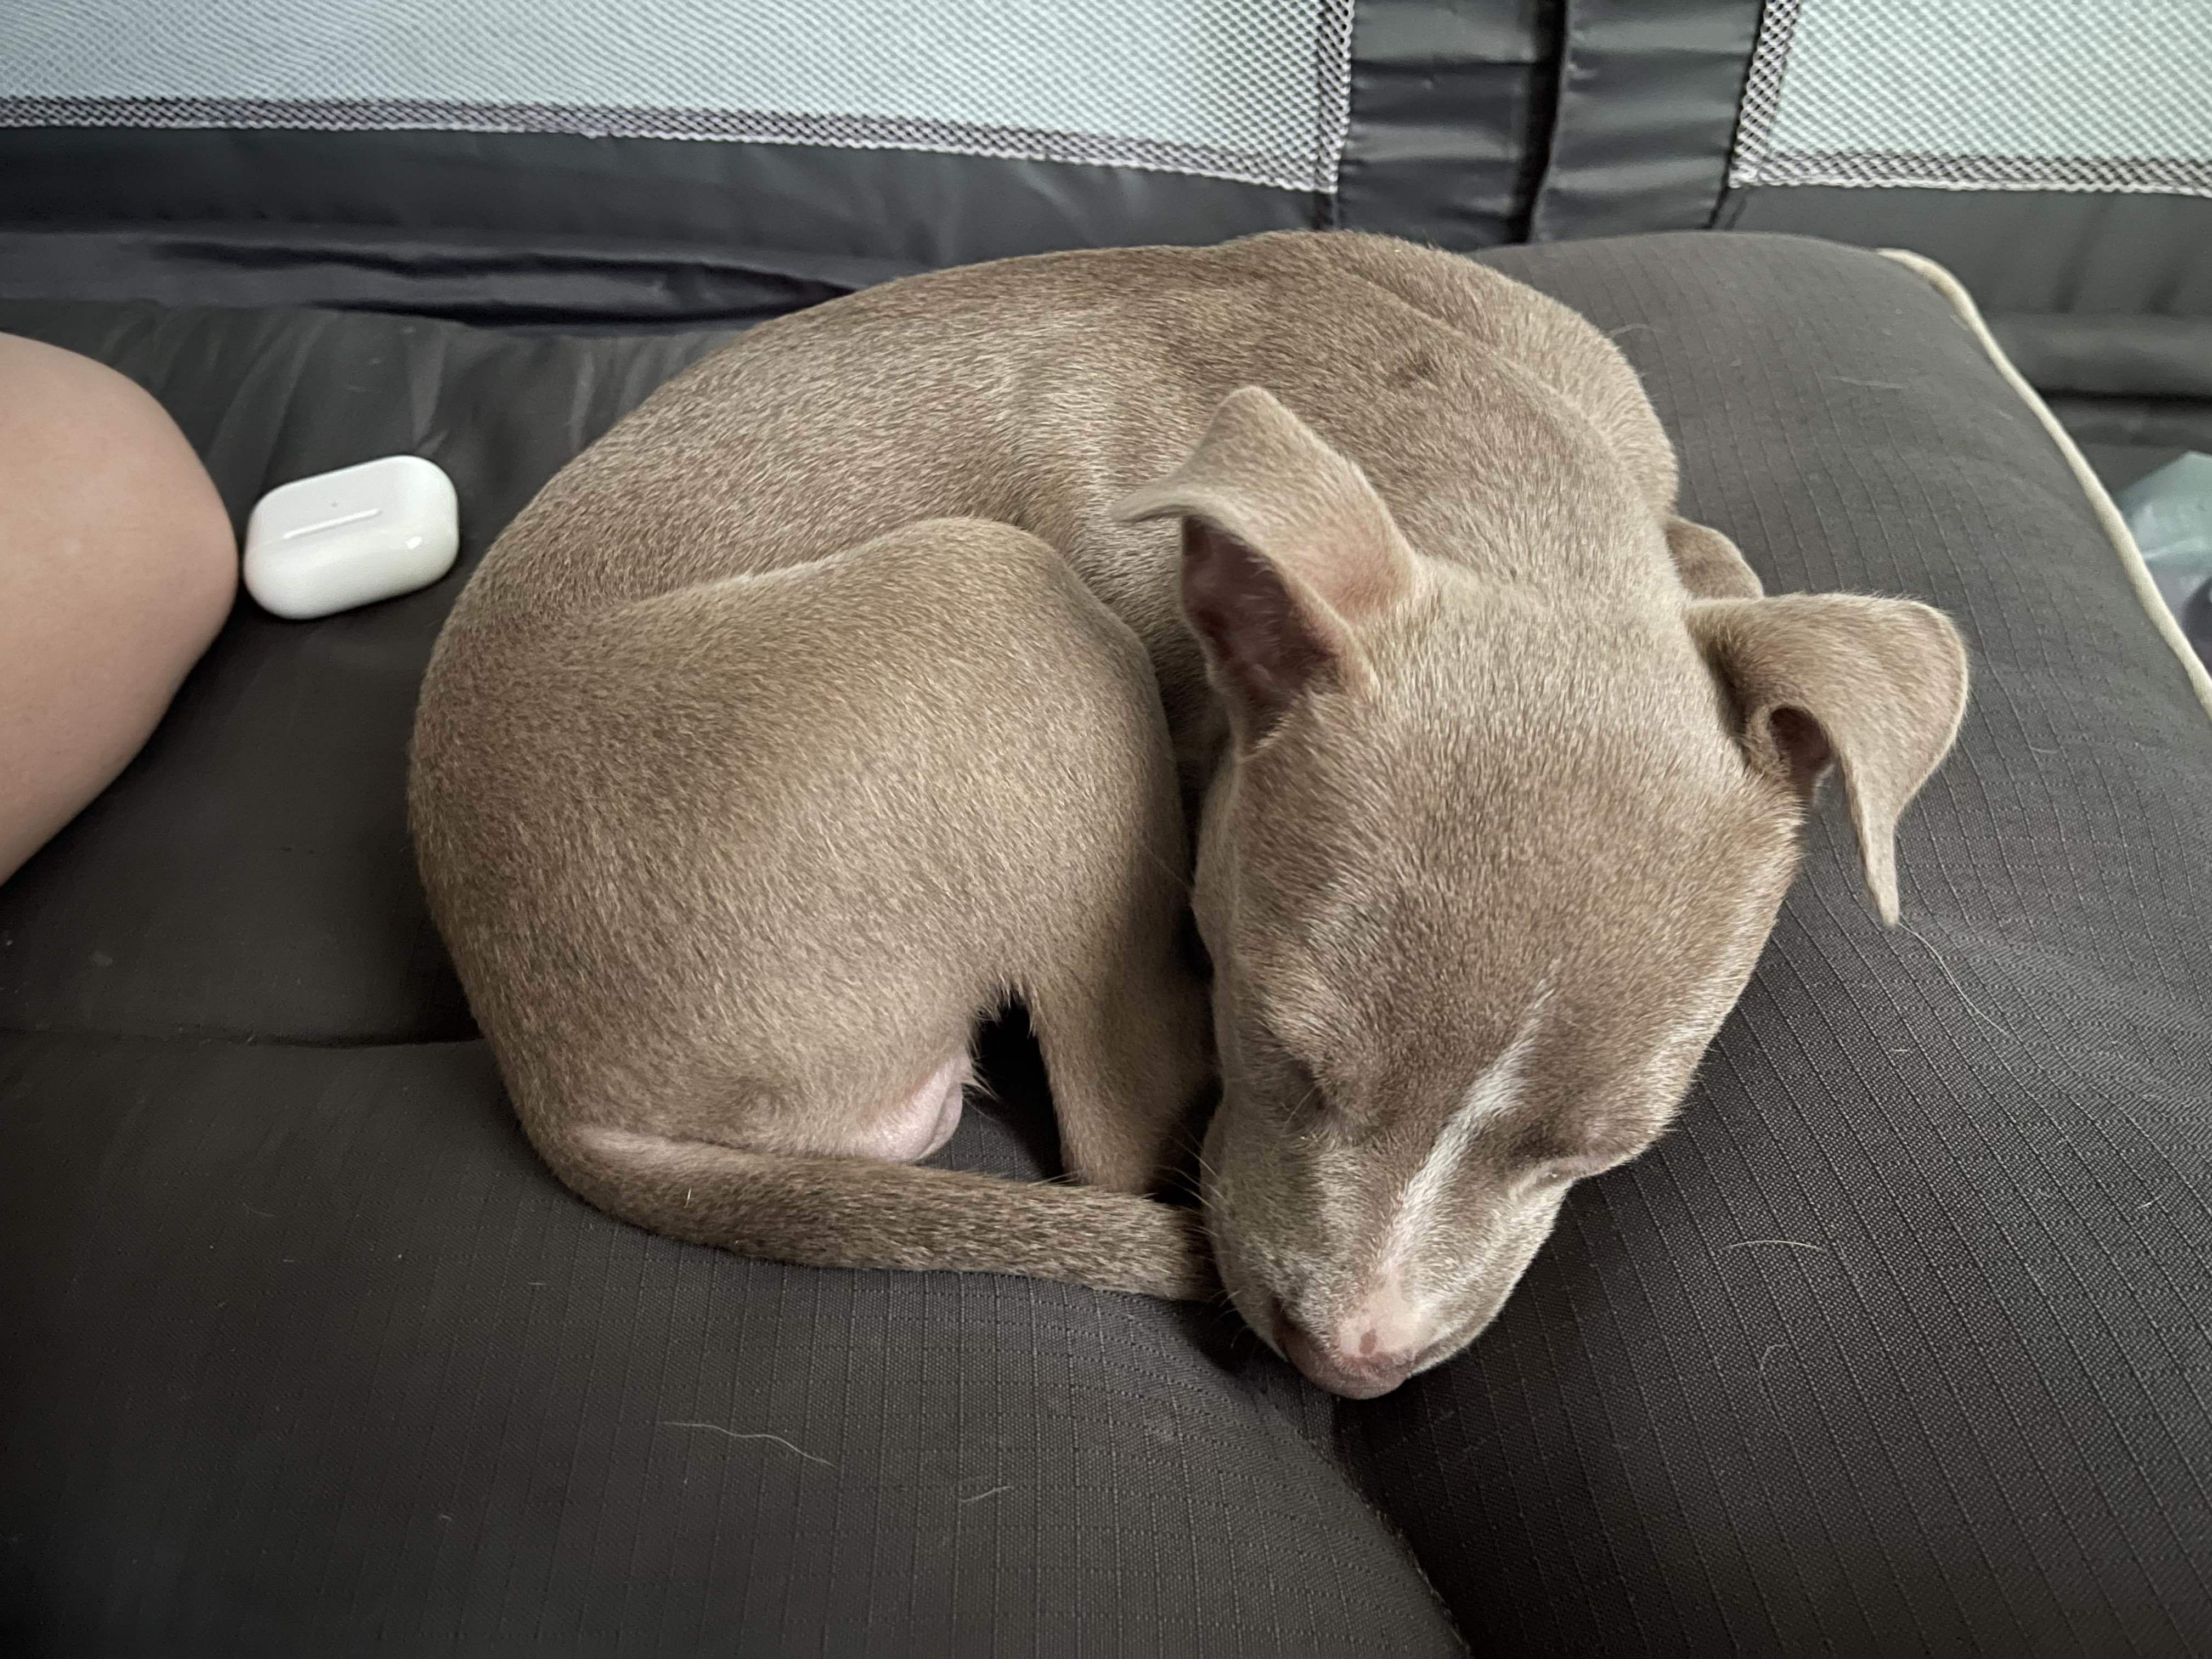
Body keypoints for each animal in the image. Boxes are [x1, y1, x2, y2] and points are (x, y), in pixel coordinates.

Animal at [407, 231, 1964, 1407]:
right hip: (999, 604)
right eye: (1275, 1044)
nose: (1351, 1364)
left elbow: (1723, 569)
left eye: (1602, 1154)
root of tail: (552, 1086)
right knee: (1112, 1126)